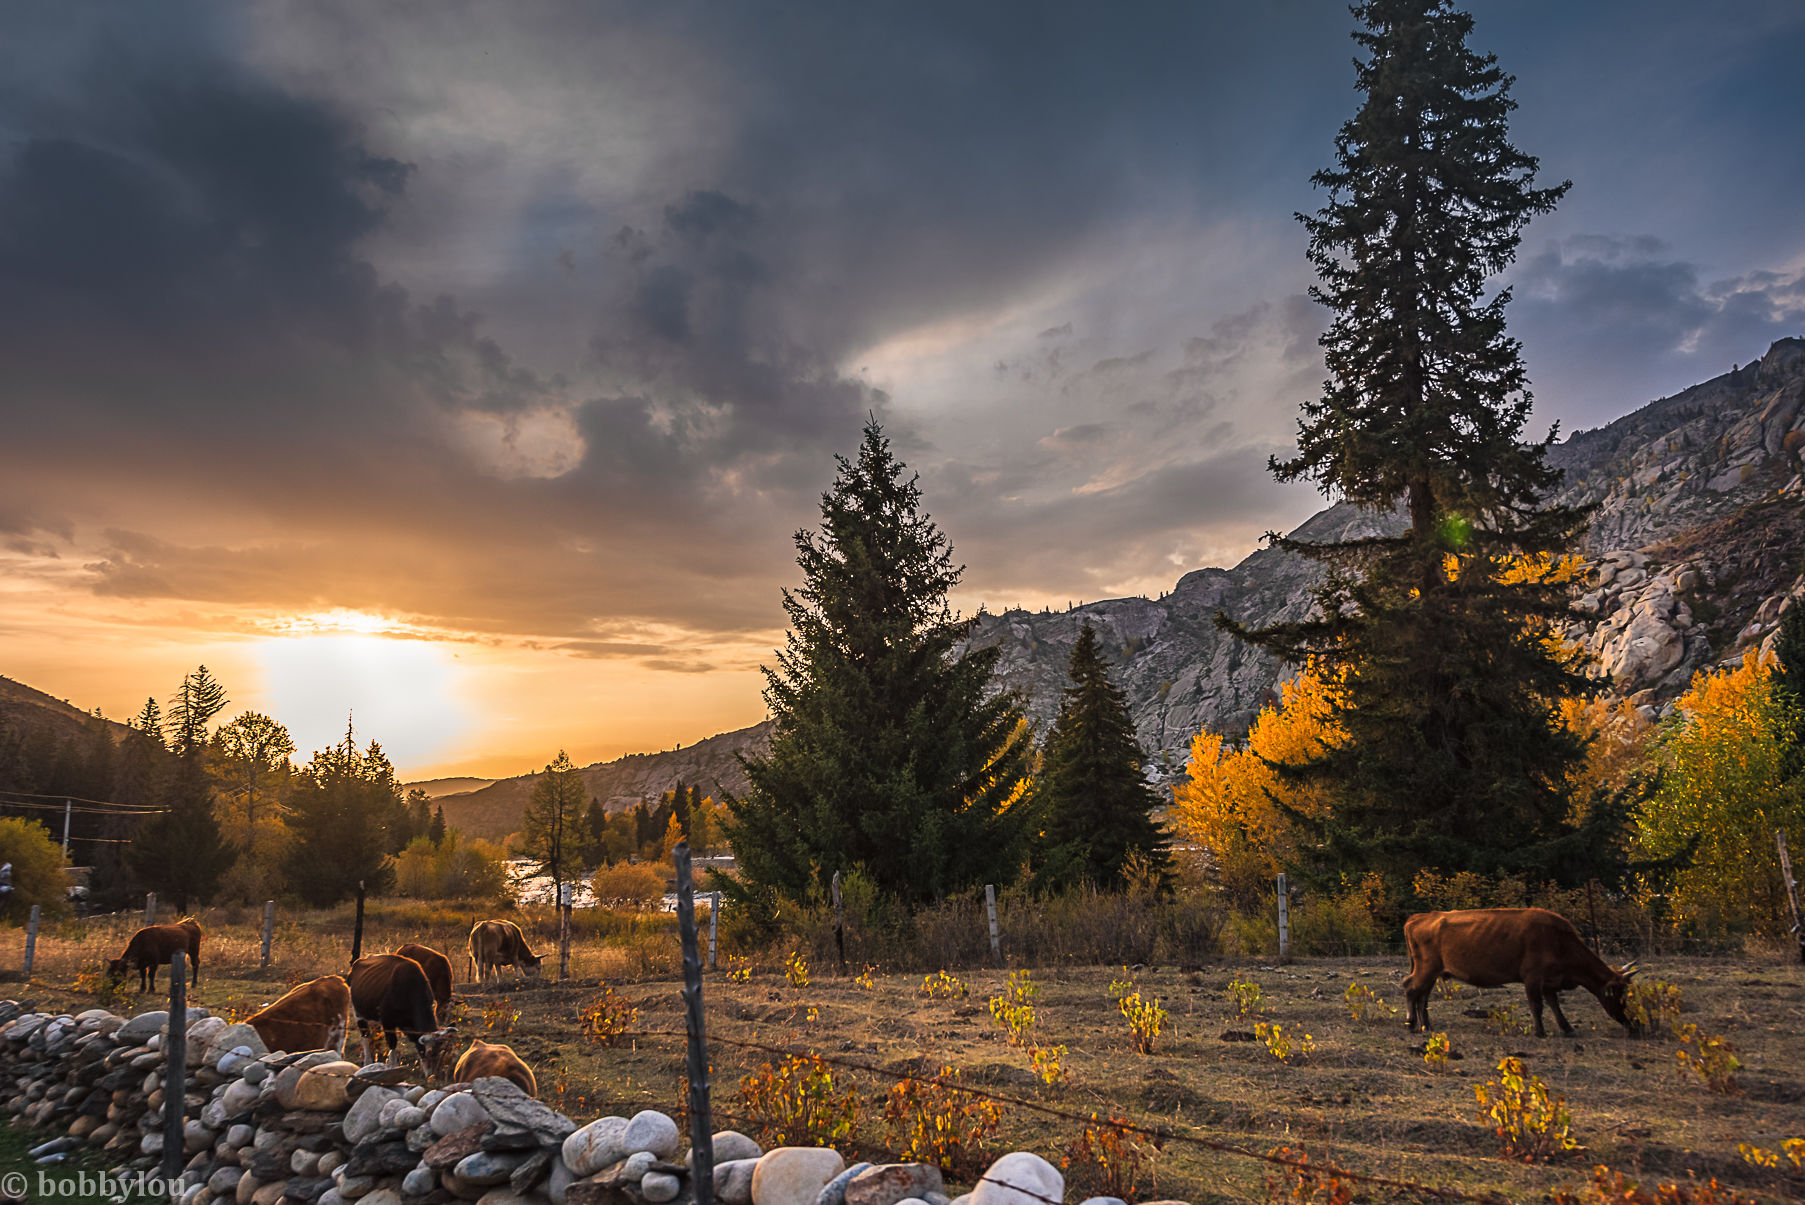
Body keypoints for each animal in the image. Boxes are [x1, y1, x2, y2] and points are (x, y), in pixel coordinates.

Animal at [1400, 909, 1646, 1039]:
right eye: (1620, 997)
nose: (1634, 1025)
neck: (1560, 941)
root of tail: (1419, 917)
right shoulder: (1533, 977)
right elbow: (1536, 1006)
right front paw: (1540, 1032)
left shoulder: (1549, 982)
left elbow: (1554, 1004)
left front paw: (1566, 1028)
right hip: (1426, 969)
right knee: (1410, 988)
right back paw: (1411, 1023)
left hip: (1432, 972)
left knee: (1423, 996)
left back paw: (1427, 1025)